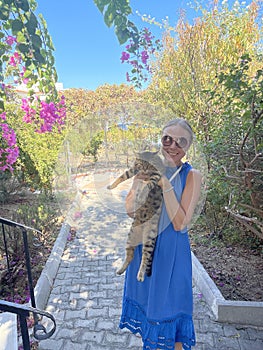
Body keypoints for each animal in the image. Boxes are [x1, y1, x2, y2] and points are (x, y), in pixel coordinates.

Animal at [107, 150, 165, 282]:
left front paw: (143, 193)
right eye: (141, 164)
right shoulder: (134, 169)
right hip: (130, 236)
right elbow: (122, 176)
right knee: (130, 255)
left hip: (149, 239)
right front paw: (112, 185)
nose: (144, 170)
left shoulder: (156, 175)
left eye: (148, 164)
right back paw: (121, 269)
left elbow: (149, 183)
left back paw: (140, 274)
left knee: (145, 258)